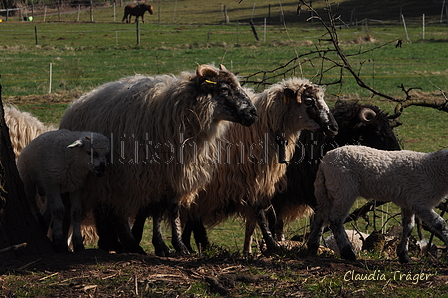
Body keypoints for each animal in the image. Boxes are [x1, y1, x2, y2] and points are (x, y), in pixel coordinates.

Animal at [57, 64, 258, 256]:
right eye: (224, 89)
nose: (253, 114)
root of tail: (75, 104)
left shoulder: (176, 173)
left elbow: (174, 208)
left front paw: (179, 245)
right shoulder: (153, 174)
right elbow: (157, 210)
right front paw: (160, 245)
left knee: (114, 211)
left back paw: (123, 244)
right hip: (99, 176)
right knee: (103, 209)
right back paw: (115, 243)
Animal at [310, 144, 448, 264]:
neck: (434, 169)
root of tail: (324, 162)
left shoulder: (408, 202)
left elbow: (408, 227)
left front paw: (403, 255)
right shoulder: (419, 202)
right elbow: (440, 224)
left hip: (328, 190)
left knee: (320, 216)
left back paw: (312, 248)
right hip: (343, 187)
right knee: (335, 220)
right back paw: (348, 253)